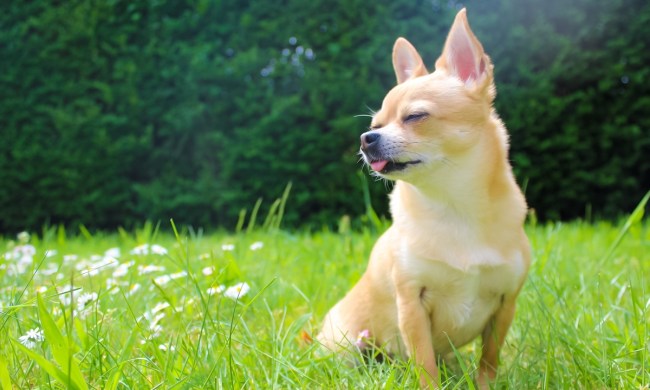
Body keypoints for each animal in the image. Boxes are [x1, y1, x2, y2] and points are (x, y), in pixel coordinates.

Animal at [316, 7, 528, 388]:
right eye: (376, 124)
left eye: (415, 116)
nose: (366, 138)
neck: (452, 203)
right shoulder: (411, 304)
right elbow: (424, 362)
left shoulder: (506, 304)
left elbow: (489, 360)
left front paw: (485, 384)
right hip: (347, 344)